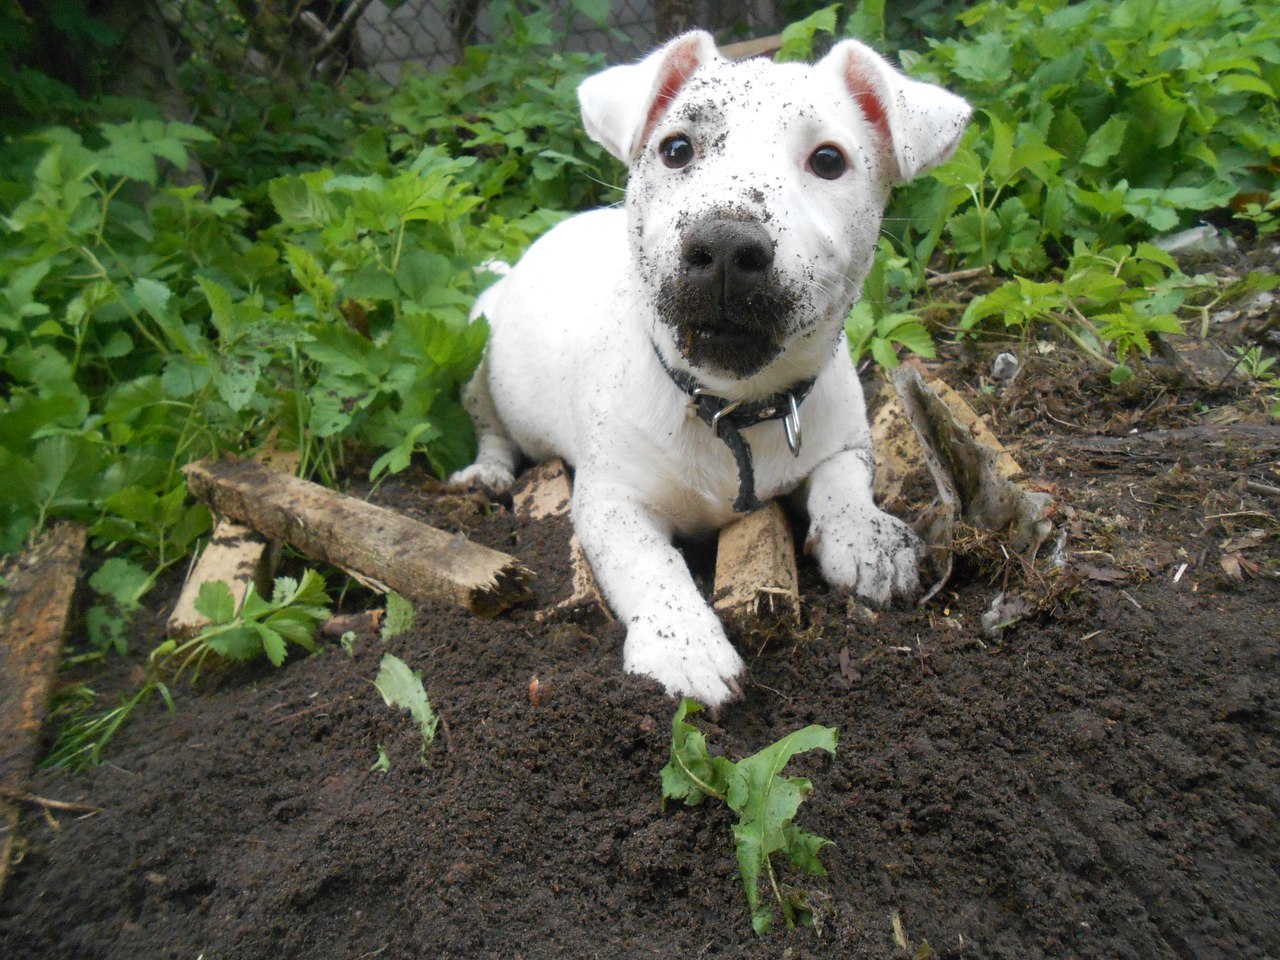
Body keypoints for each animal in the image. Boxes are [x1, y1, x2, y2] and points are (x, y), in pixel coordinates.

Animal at [453, 30, 967, 711]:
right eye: (676, 149)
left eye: (829, 160)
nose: (725, 246)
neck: (729, 405)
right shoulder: (610, 500)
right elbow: (650, 564)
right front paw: (683, 643)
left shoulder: (843, 442)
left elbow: (842, 484)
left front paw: (867, 535)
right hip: (476, 345)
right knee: (489, 426)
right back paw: (486, 471)